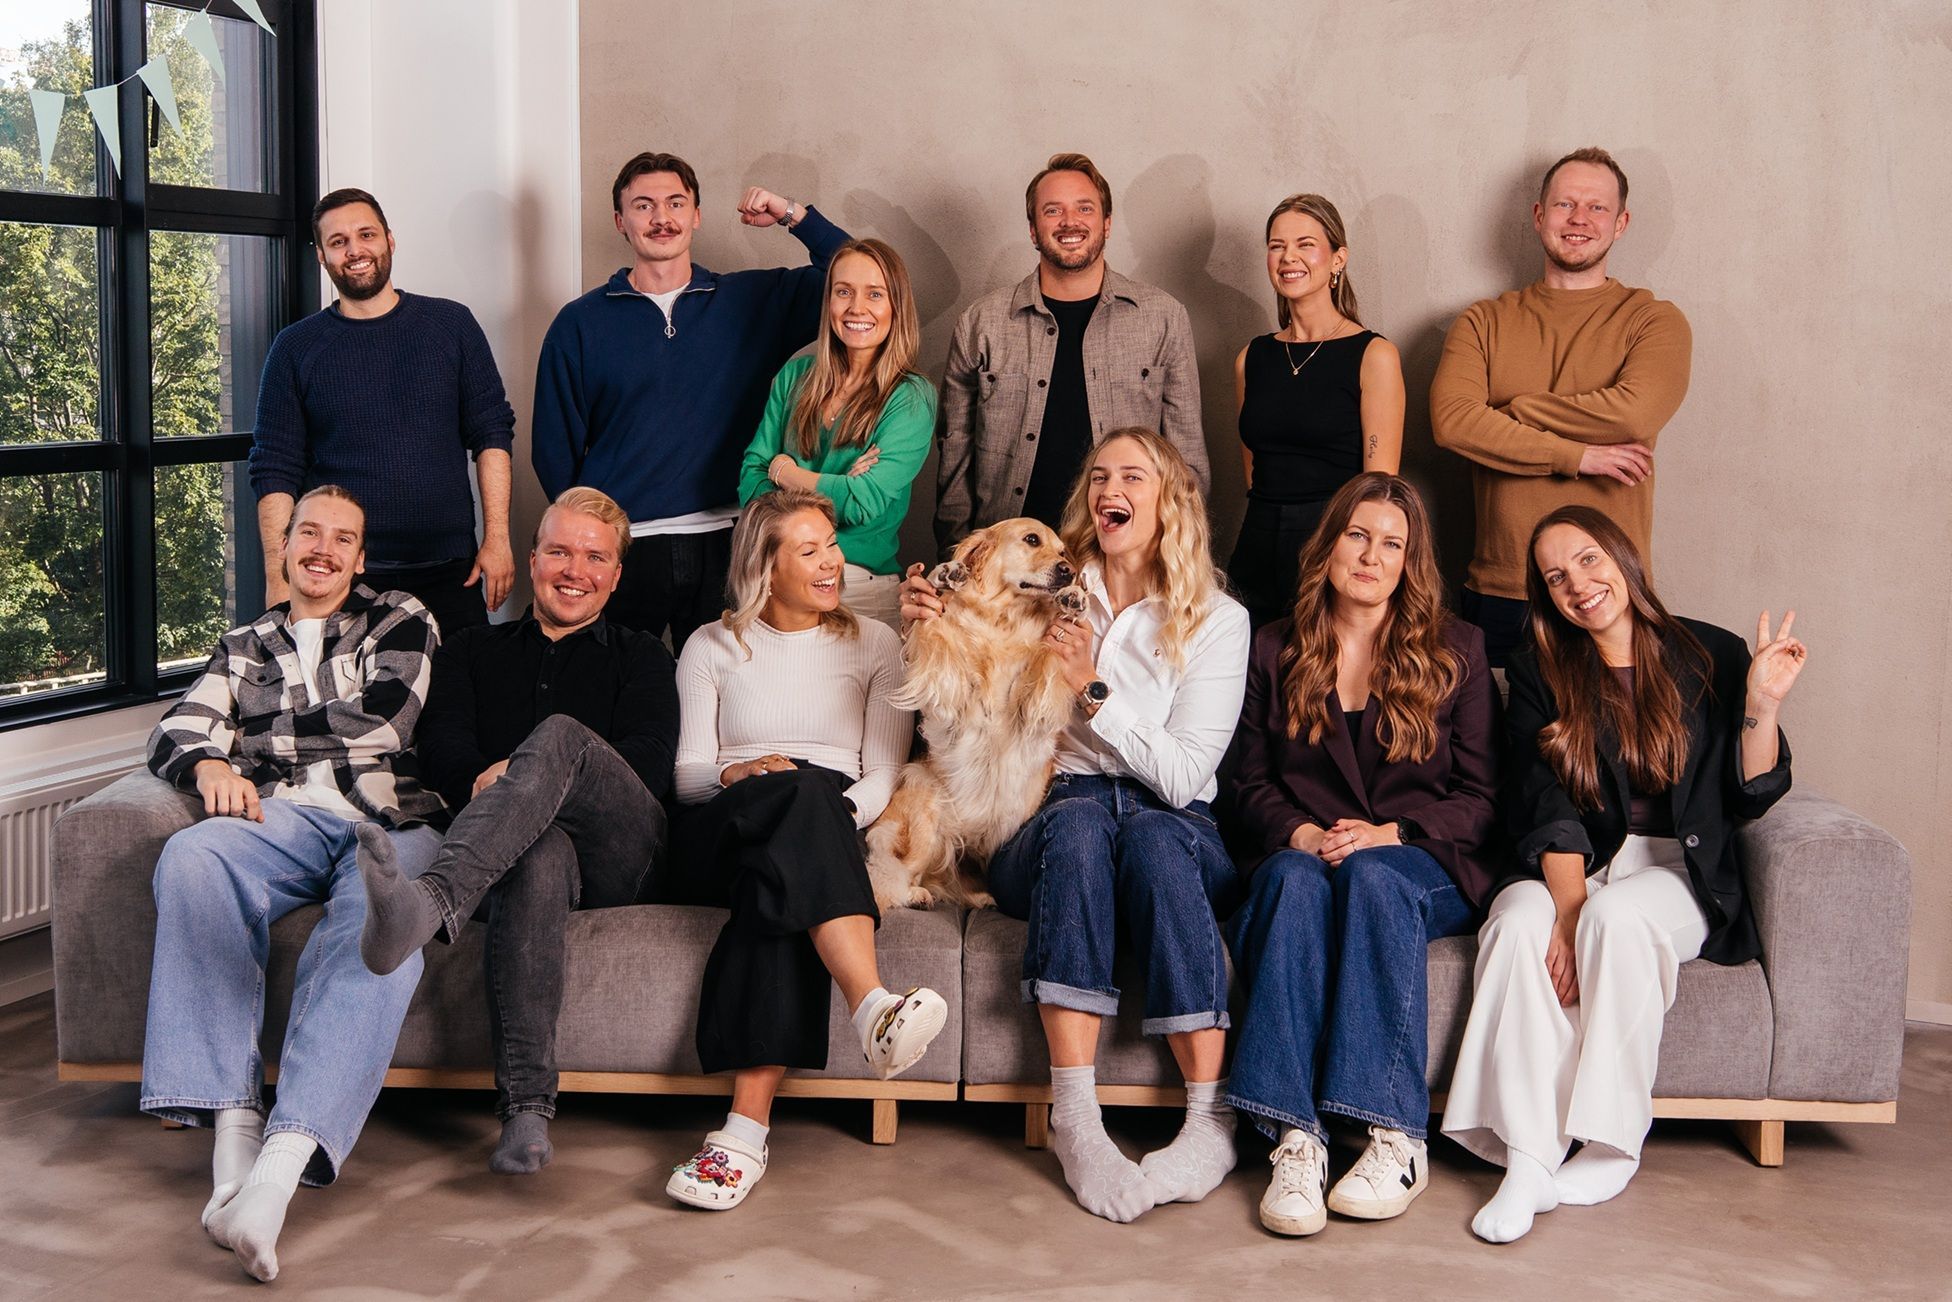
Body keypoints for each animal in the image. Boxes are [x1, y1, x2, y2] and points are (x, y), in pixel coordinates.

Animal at [865, 518, 1087, 910]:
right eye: (1032, 539)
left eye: (1063, 551)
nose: (1068, 572)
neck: (1003, 619)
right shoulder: (947, 679)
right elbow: (934, 624)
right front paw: (942, 576)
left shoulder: (1033, 700)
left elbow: (1049, 650)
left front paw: (1073, 600)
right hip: (925, 802)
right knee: (892, 879)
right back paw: (916, 895)